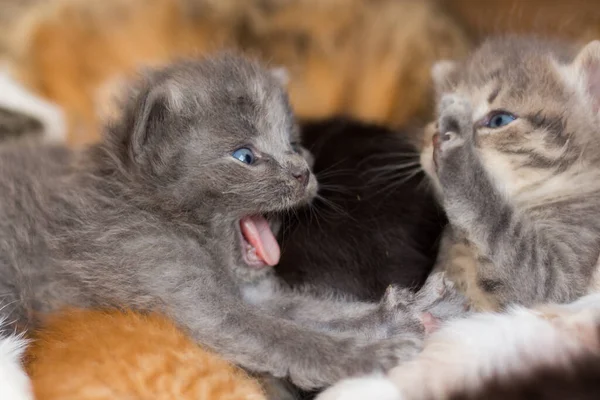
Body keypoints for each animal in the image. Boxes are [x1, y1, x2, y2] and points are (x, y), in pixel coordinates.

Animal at [0, 54, 432, 390]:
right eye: (245, 156)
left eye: (294, 145)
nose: (302, 173)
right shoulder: (181, 292)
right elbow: (288, 338)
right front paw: (372, 356)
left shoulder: (255, 293)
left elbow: (312, 311)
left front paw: (393, 316)